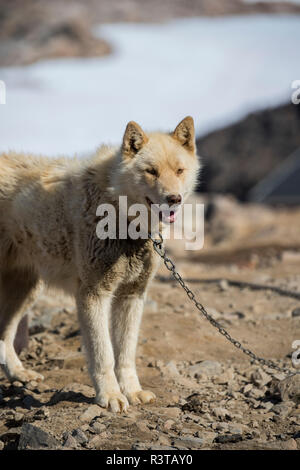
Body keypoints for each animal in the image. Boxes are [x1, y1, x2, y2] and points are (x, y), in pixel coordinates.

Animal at [1, 117, 202, 412]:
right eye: (151, 171)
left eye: (179, 170)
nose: (174, 199)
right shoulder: (93, 295)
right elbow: (103, 354)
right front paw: (110, 396)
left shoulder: (132, 297)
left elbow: (126, 354)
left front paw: (133, 392)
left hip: (26, 290)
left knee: (4, 334)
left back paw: (18, 374)